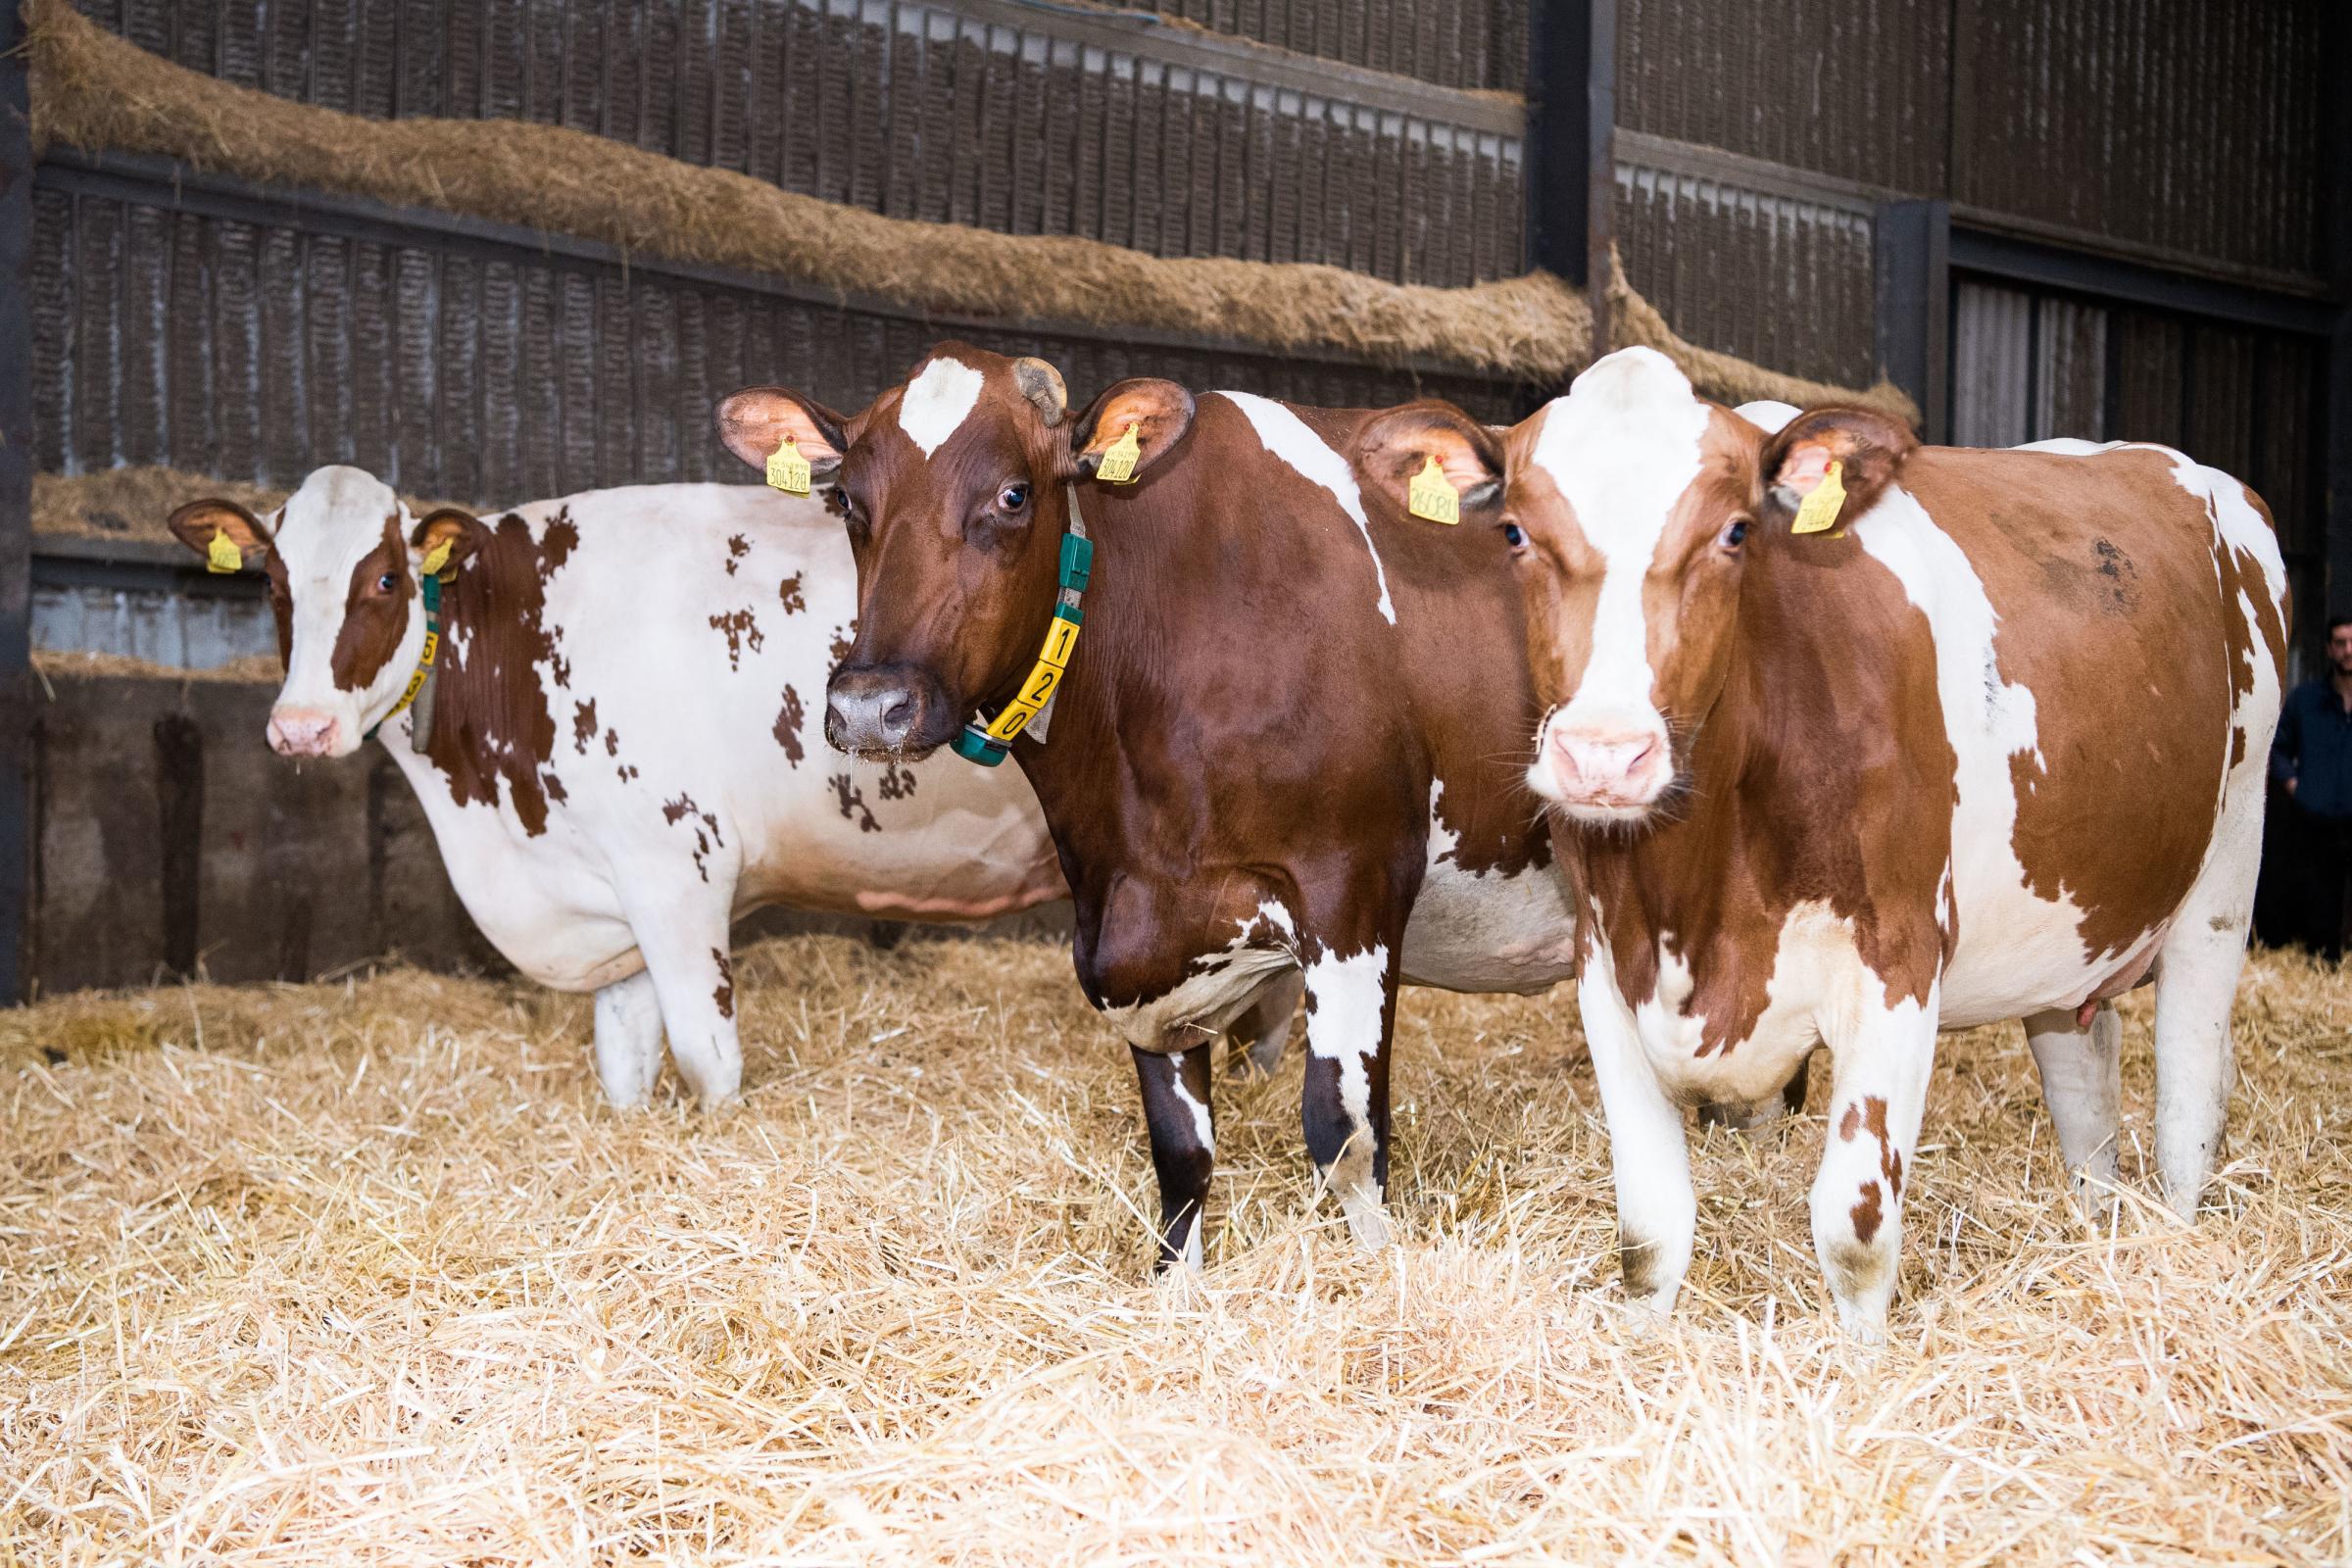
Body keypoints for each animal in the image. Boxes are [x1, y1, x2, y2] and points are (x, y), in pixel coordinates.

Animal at [171, 465, 1072, 1104]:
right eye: (272, 584)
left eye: (387, 580)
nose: (302, 727)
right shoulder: (608, 890)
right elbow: (624, 1062)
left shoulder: (678, 869)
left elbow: (707, 1061)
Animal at [714, 350, 1580, 1269]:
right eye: (847, 501)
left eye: (1015, 494)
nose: (872, 705)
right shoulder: (1136, 930)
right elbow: (1180, 1151)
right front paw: (1176, 1282)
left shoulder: (1355, 886)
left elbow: (1344, 1136)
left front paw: (1382, 1274)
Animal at [1373, 350, 2285, 1345]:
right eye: (1514, 533)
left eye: (1735, 531)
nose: (1605, 755)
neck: (1693, 895)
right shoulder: (1607, 964)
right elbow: (1650, 1230)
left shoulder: (1901, 959)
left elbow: (1853, 1232)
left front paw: (1860, 1360)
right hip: (2074, 926)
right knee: (2087, 1093)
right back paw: (2096, 1228)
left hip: (2224, 878)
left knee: (2190, 1099)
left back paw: (2173, 1237)